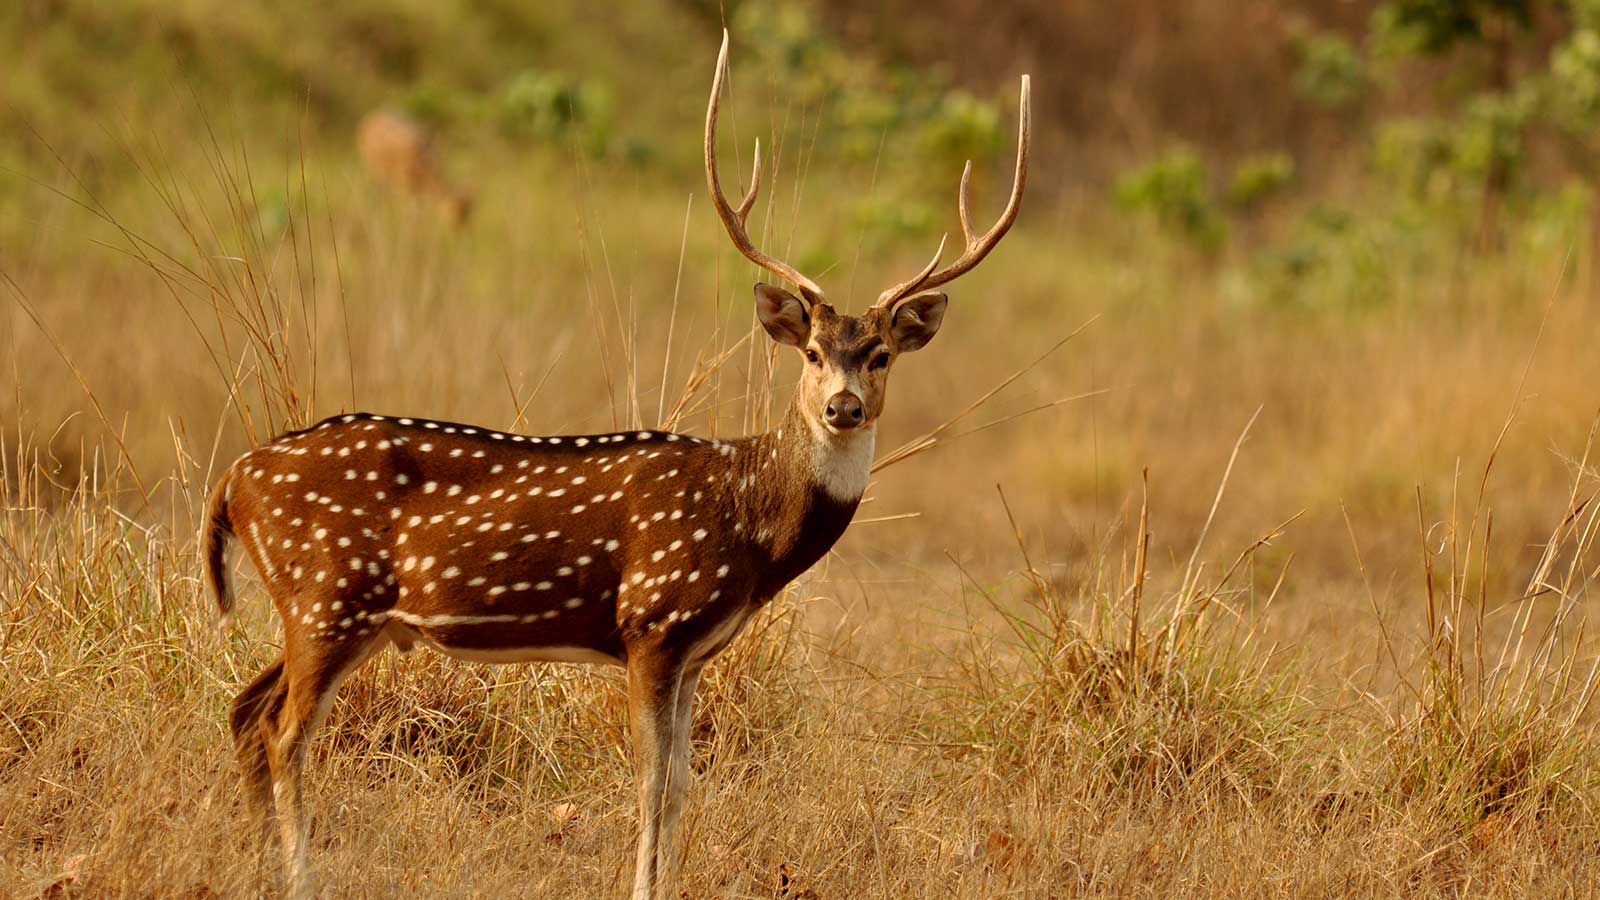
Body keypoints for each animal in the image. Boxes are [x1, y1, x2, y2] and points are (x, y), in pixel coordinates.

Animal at [206, 31, 1030, 896]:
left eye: (879, 356)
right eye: (810, 352)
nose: (843, 407)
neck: (749, 521)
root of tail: (233, 480)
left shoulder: (696, 649)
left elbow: (684, 784)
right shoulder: (652, 619)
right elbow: (651, 782)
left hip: (334, 612)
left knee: (245, 708)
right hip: (328, 596)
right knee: (284, 732)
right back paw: (302, 876)